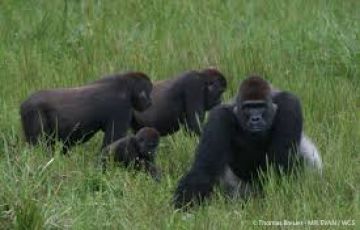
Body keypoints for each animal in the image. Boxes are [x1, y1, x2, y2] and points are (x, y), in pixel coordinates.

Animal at [20, 71, 152, 152]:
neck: (127, 85)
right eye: (148, 92)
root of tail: (24, 104)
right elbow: (112, 142)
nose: (150, 102)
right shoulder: (122, 107)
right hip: (33, 111)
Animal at [173, 75, 322, 208]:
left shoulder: (290, 105)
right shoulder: (219, 117)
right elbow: (204, 170)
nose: (255, 119)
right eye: (248, 107)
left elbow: (282, 165)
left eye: (260, 106)